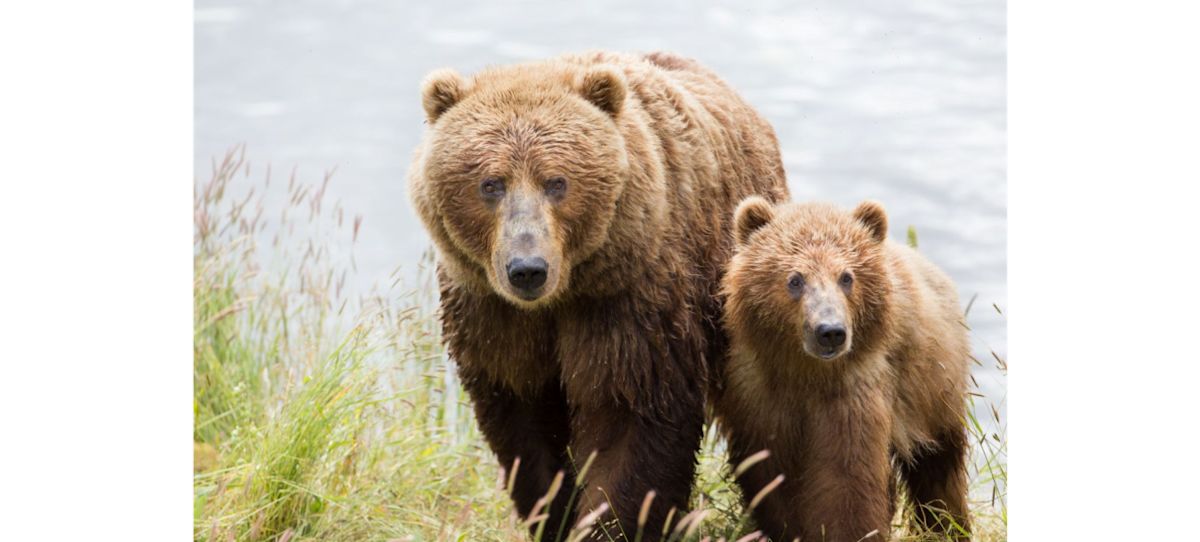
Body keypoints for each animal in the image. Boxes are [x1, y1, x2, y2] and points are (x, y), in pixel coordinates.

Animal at [407, 51, 789, 540]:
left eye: (557, 181)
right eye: (491, 183)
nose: (527, 269)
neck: (562, 294)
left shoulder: (627, 304)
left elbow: (628, 422)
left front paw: (608, 522)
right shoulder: (494, 315)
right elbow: (523, 425)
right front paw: (552, 510)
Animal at [715, 197, 972, 541]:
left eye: (847, 277)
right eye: (795, 279)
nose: (830, 331)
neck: (807, 373)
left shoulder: (852, 393)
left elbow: (846, 480)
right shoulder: (762, 398)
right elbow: (773, 476)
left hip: (934, 387)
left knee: (939, 469)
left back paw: (947, 527)